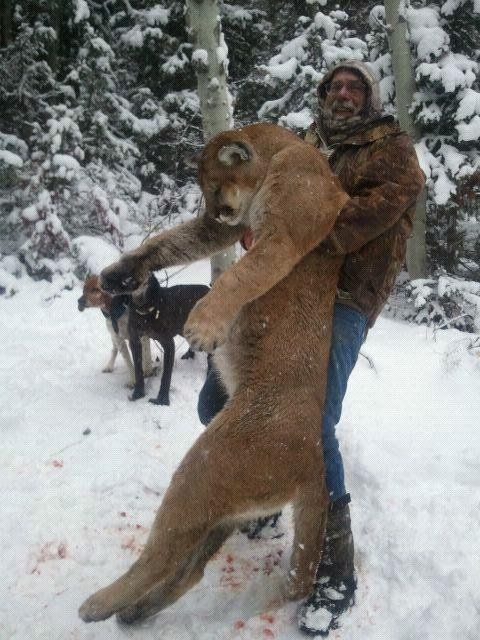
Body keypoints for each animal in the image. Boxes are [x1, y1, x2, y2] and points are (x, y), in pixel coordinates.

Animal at [78, 122, 349, 625]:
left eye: (217, 186)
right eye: (205, 193)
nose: (219, 211)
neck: (285, 151)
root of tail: (314, 462)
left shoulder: (284, 232)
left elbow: (243, 275)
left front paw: (204, 326)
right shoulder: (230, 229)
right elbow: (171, 240)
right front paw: (121, 270)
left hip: (207, 467)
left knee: (162, 553)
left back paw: (99, 604)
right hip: (227, 509)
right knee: (189, 570)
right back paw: (134, 612)